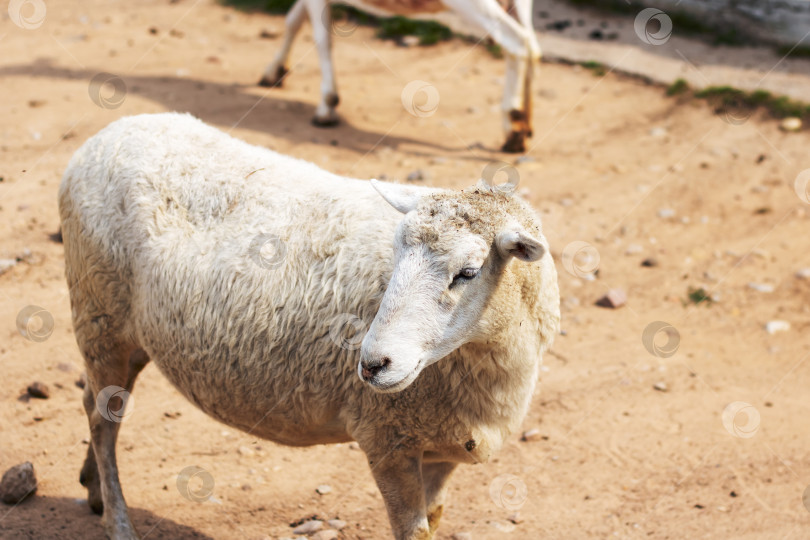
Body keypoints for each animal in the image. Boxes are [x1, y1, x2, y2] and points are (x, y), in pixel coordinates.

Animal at [60, 112, 560, 536]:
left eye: (468, 273)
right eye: (395, 251)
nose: (372, 364)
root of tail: (109, 132)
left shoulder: (446, 448)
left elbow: (433, 521)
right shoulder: (386, 438)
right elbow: (412, 531)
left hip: (124, 333)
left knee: (95, 402)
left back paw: (93, 488)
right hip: (98, 313)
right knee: (102, 420)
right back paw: (117, 522)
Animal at [256, 0, 540, 153]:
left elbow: (321, 38)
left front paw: (326, 107)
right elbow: (294, 19)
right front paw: (273, 73)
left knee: (517, 41)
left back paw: (512, 127)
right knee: (533, 45)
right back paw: (523, 126)